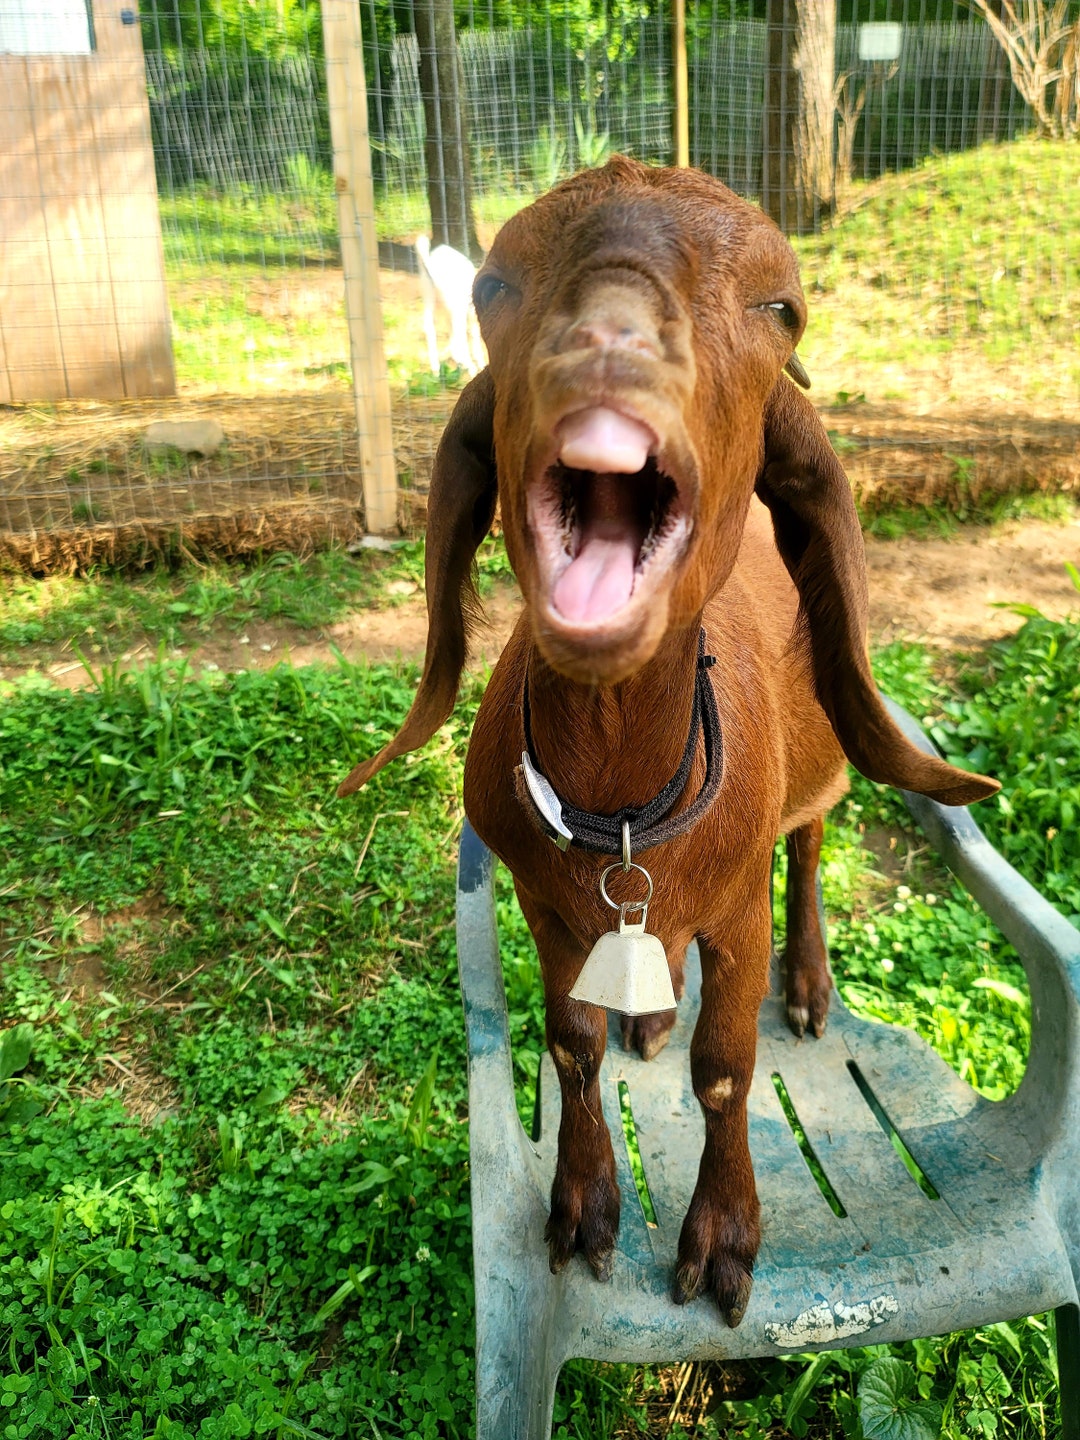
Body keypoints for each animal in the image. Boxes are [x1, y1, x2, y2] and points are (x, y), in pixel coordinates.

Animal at [414, 234, 485, 378]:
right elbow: (474, 335)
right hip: (457, 307)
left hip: (428, 296)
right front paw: (480, 363)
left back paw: (436, 369)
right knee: (459, 335)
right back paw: (470, 368)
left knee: (430, 327)